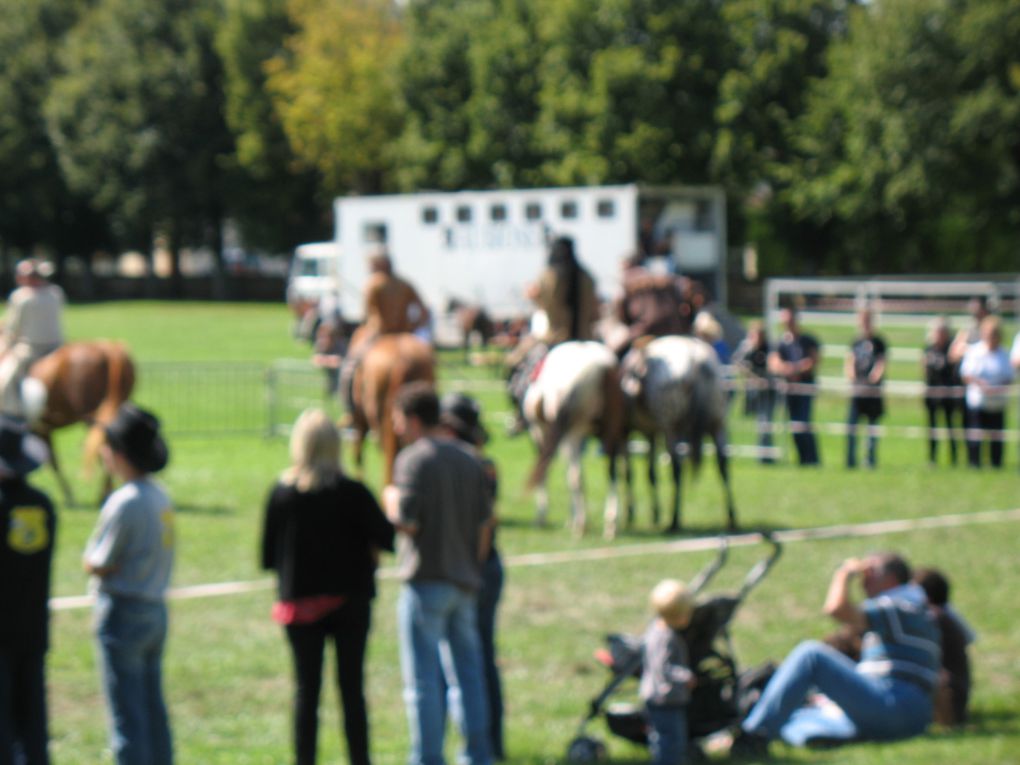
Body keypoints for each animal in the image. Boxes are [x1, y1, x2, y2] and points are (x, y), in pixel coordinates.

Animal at [26, 342, 135, 510]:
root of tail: (108, 349)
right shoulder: (42, 431)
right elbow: (52, 461)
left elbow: (52, 462)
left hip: (93, 420)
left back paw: (104, 496)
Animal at [526, 340, 628, 538]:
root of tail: (601, 366)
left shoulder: (542, 433)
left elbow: (549, 471)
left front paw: (544, 516)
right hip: (609, 431)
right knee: (611, 470)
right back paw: (610, 522)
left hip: (572, 433)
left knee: (576, 475)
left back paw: (581, 524)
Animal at [620, 334, 734, 534]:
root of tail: (698, 360)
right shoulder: (651, 434)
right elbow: (650, 473)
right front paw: (654, 513)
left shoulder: (628, 433)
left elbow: (630, 473)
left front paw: (632, 513)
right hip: (717, 425)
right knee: (723, 464)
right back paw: (732, 519)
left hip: (672, 429)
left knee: (677, 468)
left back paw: (674, 521)